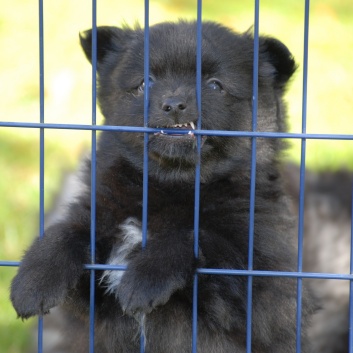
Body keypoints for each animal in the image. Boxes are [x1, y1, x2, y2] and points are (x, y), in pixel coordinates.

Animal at [10, 22, 314, 352]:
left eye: (215, 85)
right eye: (146, 83)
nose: (173, 105)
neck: (170, 186)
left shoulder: (259, 277)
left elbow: (196, 237)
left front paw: (144, 278)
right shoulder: (91, 282)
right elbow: (68, 230)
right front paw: (34, 280)